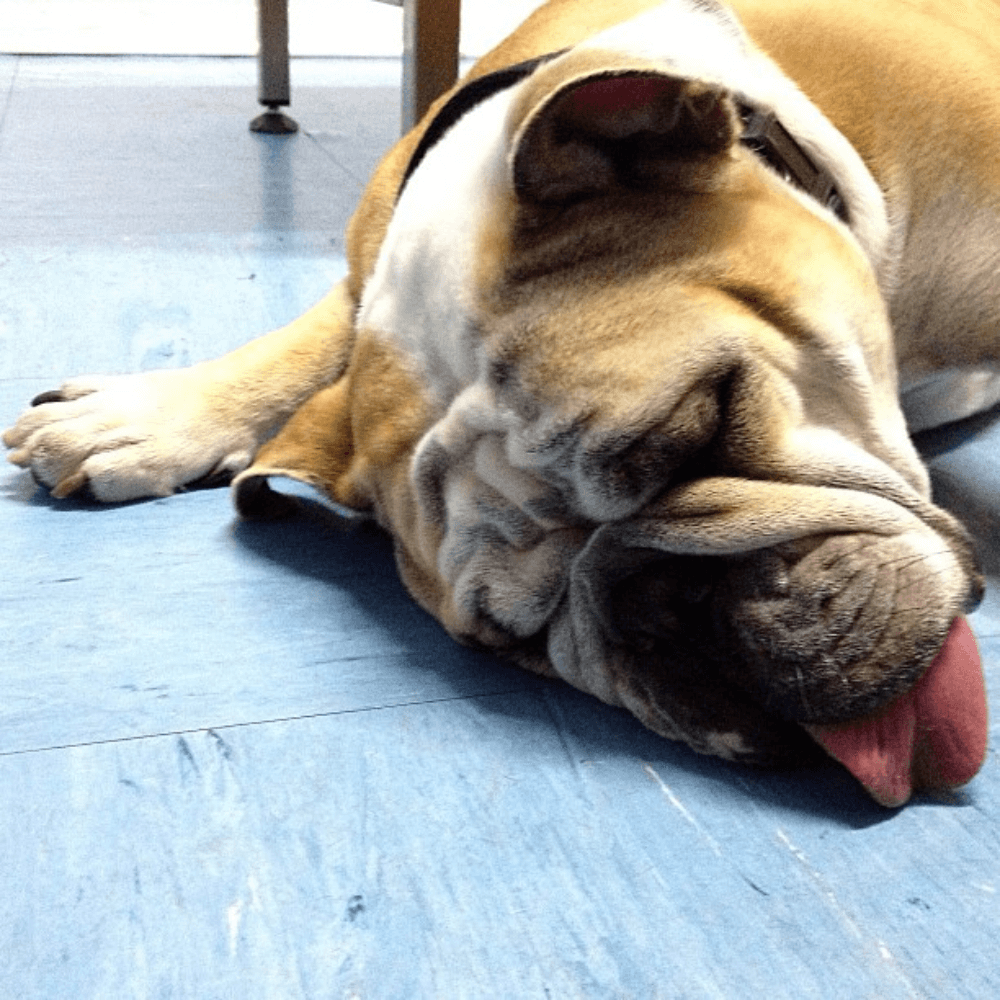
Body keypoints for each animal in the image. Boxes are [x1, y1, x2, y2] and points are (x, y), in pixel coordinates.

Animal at [3, 0, 996, 808]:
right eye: (514, 638)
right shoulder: (365, 286)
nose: (665, 601)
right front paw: (139, 416)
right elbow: (301, 348)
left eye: (705, 422)